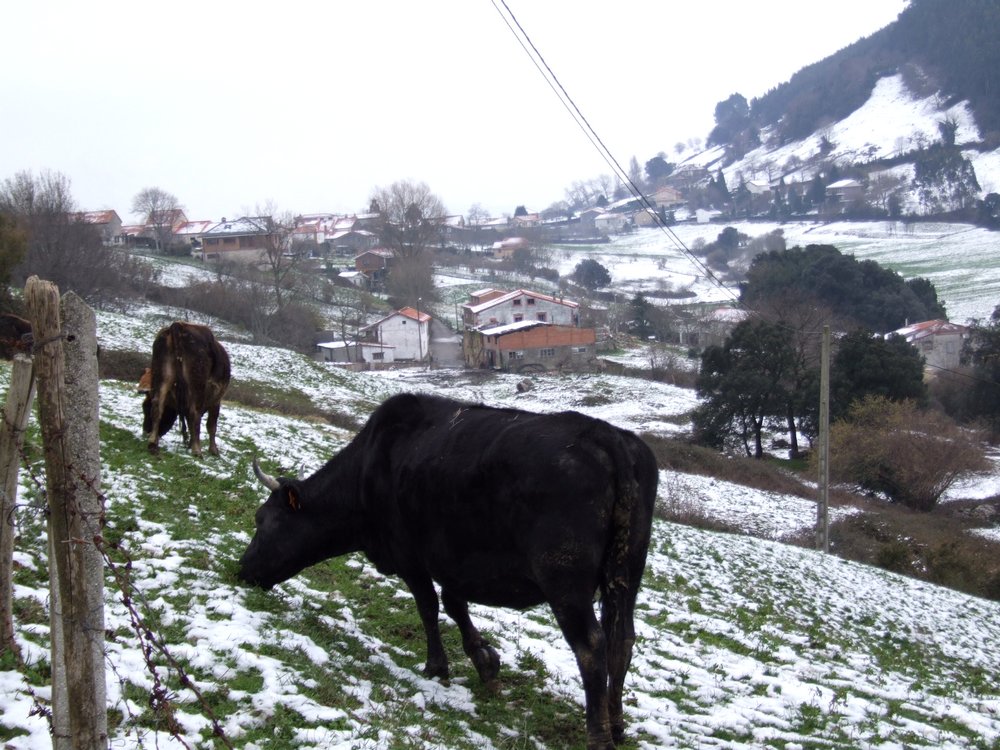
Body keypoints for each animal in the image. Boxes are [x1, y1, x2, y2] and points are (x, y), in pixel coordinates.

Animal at [141, 320, 230, 456]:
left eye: (145, 407)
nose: (146, 430)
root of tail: (178, 325)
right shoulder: (216, 400)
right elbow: (211, 425)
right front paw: (213, 450)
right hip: (197, 388)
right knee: (195, 414)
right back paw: (197, 450)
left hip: (162, 377)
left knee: (157, 406)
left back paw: (152, 444)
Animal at [238, 390, 660, 748]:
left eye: (262, 520)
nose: (242, 570)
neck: (368, 469)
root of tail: (608, 437)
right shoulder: (451, 559)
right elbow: (455, 606)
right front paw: (486, 662)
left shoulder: (410, 555)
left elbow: (428, 606)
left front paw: (436, 666)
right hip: (629, 568)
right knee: (622, 638)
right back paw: (617, 723)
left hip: (564, 577)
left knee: (591, 644)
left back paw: (599, 735)